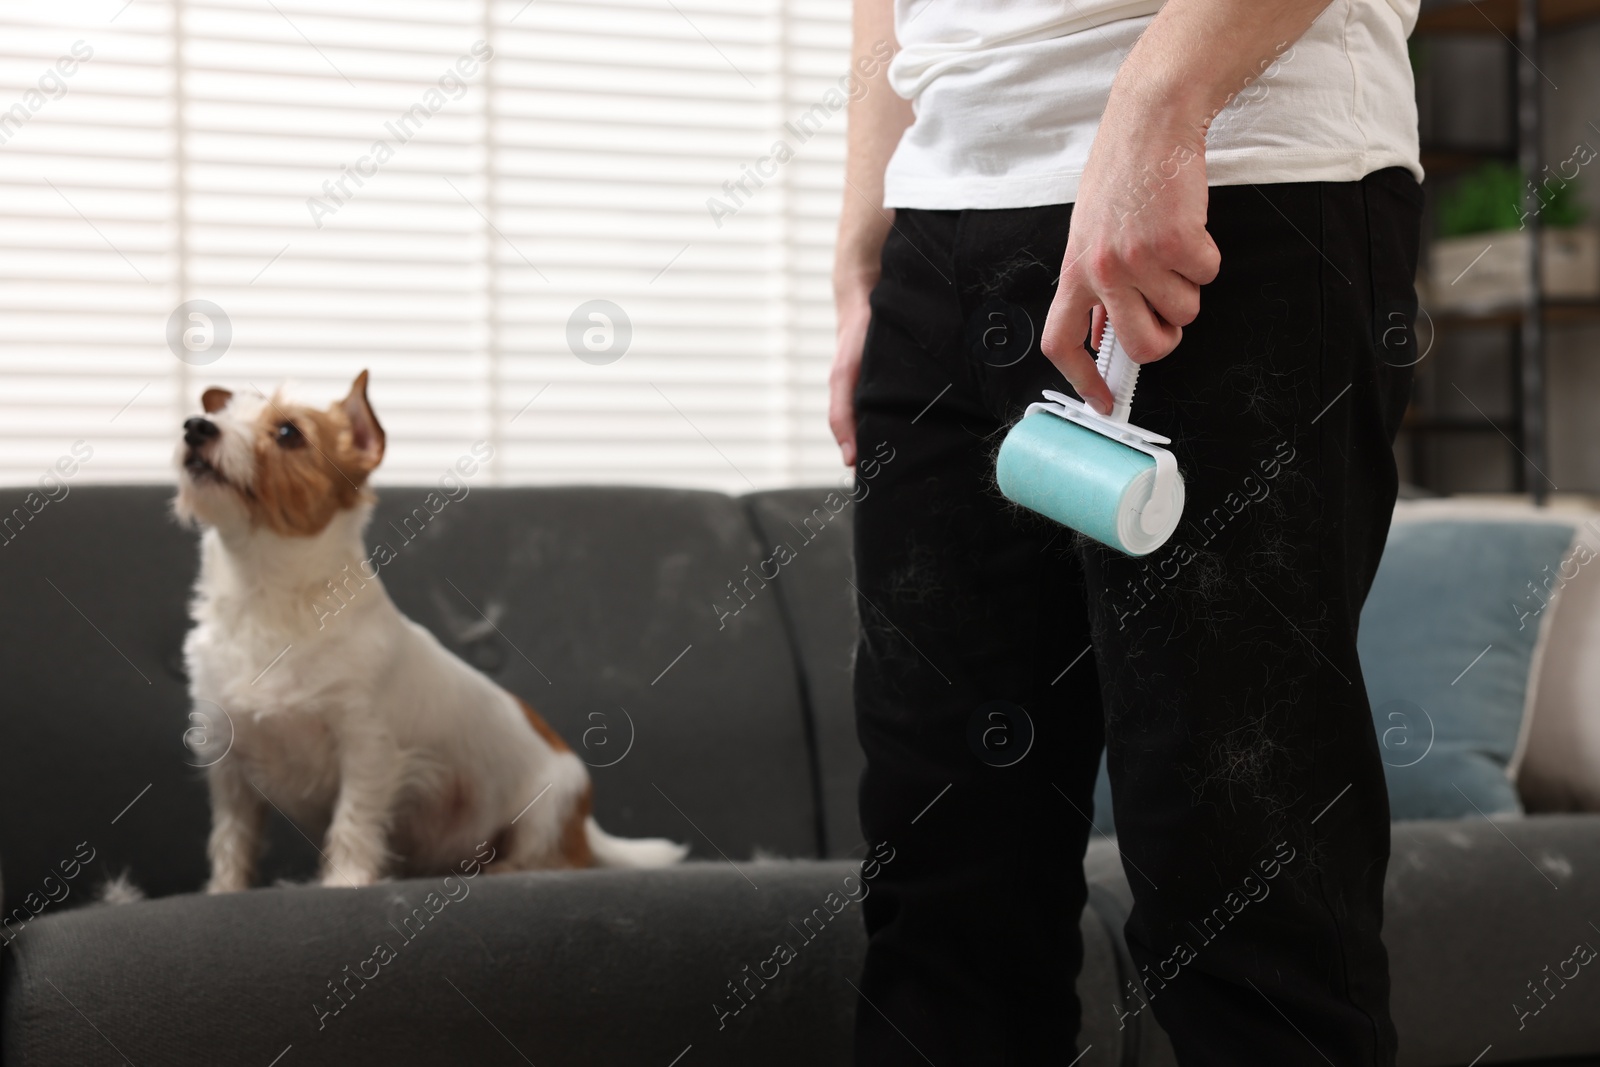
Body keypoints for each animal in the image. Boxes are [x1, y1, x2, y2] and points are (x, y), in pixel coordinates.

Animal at [176, 371, 688, 889]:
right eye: (221, 415)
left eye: (288, 433)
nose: (196, 426)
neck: (266, 597)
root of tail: (587, 825)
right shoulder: (228, 763)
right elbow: (232, 836)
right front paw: (223, 891)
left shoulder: (367, 748)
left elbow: (354, 822)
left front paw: (346, 882)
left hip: (546, 810)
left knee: (556, 859)